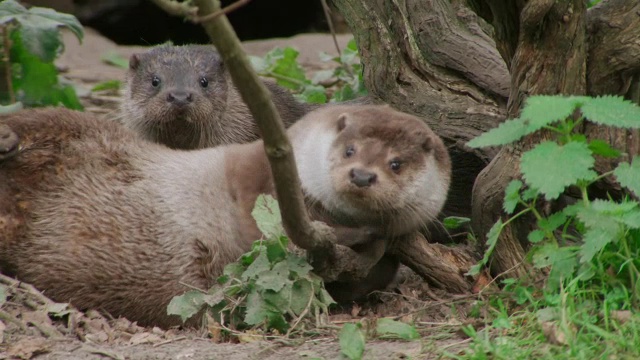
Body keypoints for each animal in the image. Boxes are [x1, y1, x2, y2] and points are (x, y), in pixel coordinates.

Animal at [0, 105, 450, 330]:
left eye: (395, 163)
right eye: (350, 149)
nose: (361, 176)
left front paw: (372, 241)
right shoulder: (255, 176)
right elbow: (268, 225)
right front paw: (354, 233)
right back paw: (8, 138)